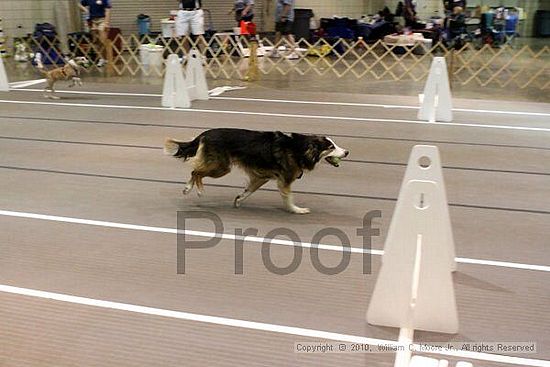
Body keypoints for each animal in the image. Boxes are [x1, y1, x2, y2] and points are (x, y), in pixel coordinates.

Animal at [164, 129, 350, 216]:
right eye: (331, 147)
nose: (347, 152)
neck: (300, 148)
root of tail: (205, 133)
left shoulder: (261, 177)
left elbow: (248, 191)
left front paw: (238, 200)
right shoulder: (284, 180)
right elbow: (288, 198)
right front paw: (296, 210)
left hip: (219, 166)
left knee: (194, 171)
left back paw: (187, 189)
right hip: (221, 167)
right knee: (197, 172)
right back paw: (199, 191)